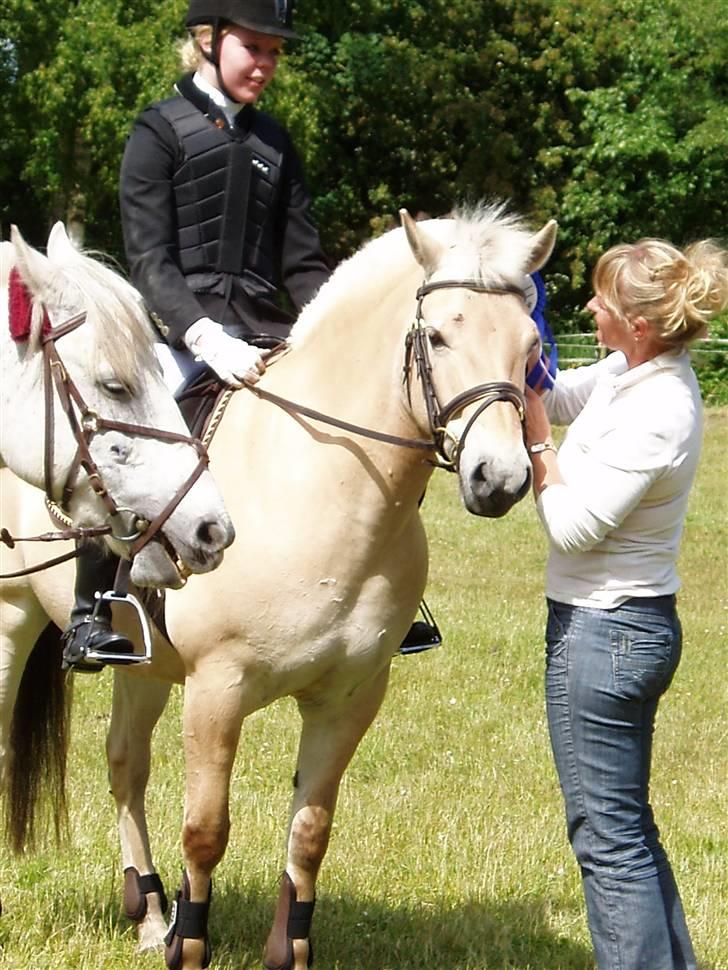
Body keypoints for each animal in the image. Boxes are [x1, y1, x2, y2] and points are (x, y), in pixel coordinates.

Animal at [1, 206, 556, 968]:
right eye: (438, 336)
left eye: (530, 347)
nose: (498, 480)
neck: (322, 488)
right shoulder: (217, 688)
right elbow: (206, 829)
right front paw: (188, 946)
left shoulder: (351, 697)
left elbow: (310, 831)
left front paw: (283, 950)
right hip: (13, 619)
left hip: (144, 666)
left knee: (125, 764)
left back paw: (146, 909)